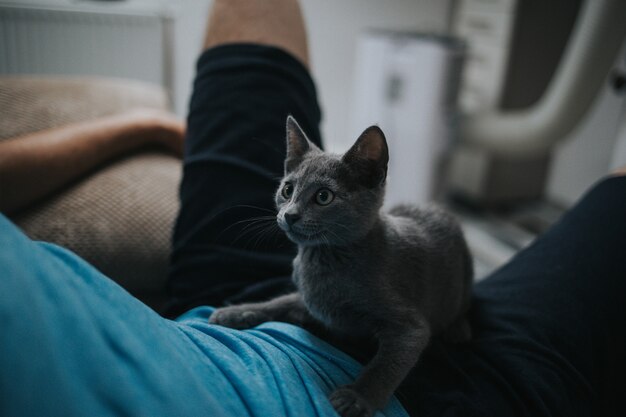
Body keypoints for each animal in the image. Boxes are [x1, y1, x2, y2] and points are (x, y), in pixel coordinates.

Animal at [207, 115, 470, 416]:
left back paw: (458, 328)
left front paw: (357, 397)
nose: (290, 215)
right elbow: (279, 301)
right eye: (287, 190)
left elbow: (386, 364)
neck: (323, 258)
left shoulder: (409, 326)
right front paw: (235, 312)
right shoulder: (309, 301)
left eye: (323, 196)